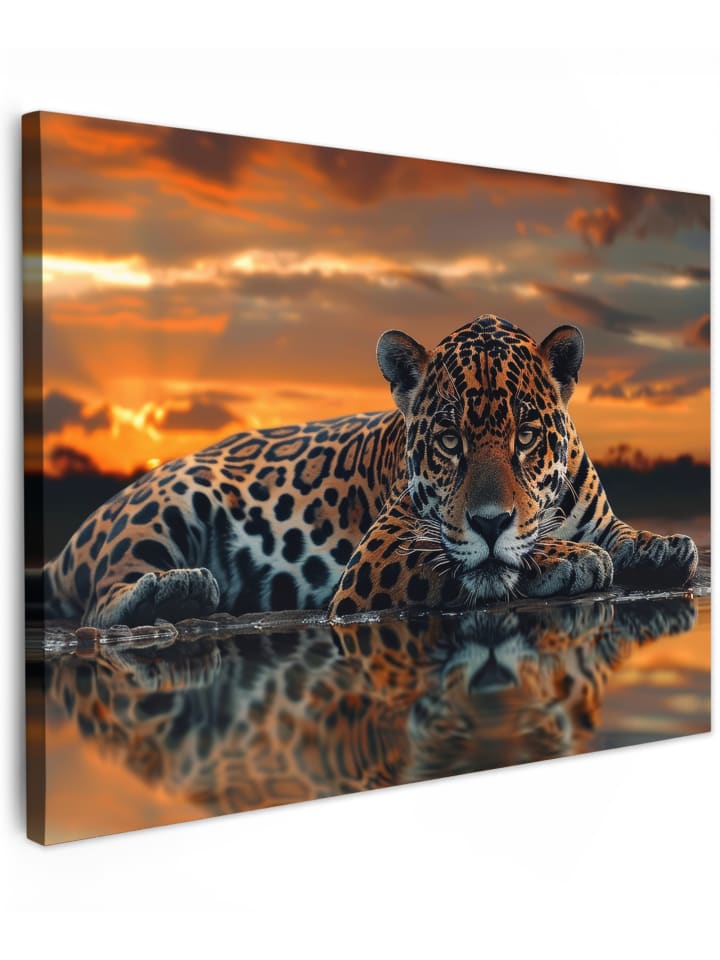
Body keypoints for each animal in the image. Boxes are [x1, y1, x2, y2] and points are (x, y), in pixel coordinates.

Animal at [39, 314, 698, 627]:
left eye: (527, 436)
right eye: (450, 440)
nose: (489, 521)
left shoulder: (596, 514)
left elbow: (620, 532)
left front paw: (663, 545)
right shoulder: (378, 557)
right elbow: (481, 561)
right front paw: (571, 558)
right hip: (170, 500)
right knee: (98, 601)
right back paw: (180, 589)